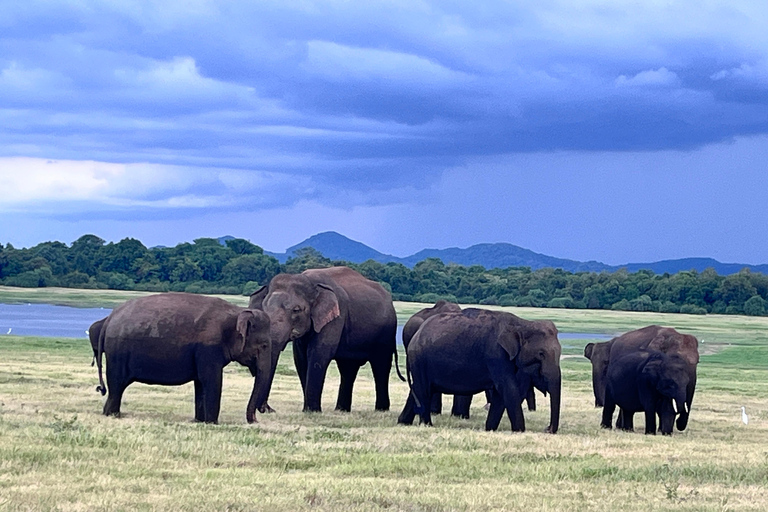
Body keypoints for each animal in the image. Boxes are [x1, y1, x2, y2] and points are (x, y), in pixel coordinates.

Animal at [95, 292, 272, 424]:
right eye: (264, 345)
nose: (255, 419)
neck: (236, 312)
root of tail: (109, 318)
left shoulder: (203, 353)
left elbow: (201, 382)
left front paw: (200, 421)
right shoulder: (209, 349)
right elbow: (212, 380)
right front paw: (213, 423)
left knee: (116, 387)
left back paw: (108, 414)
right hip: (117, 353)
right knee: (117, 384)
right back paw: (113, 415)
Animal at [250, 266, 402, 414]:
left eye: (296, 310)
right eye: (263, 308)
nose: (268, 409)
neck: (309, 281)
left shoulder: (336, 317)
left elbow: (319, 354)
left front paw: (312, 411)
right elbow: (300, 359)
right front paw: (309, 410)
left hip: (386, 333)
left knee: (381, 365)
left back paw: (381, 410)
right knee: (348, 368)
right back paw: (342, 410)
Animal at [402, 308, 560, 432]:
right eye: (541, 354)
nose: (547, 429)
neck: (523, 323)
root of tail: (416, 334)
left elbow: (500, 394)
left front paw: (490, 429)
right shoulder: (496, 355)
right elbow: (508, 388)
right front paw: (519, 431)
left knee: (417, 387)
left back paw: (403, 422)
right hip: (420, 359)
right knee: (423, 389)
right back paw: (427, 425)